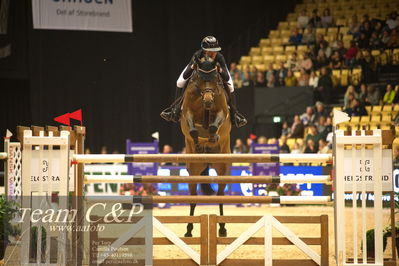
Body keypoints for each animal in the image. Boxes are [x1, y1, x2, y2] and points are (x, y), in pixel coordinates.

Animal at [180, 56, 233, 237]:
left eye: (217, 79)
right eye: (200, 79)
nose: (208, 101)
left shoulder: (222, 112)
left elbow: (213, 126)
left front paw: (212, 137)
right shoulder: (187, 112)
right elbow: (193, 129)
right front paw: (198, 143)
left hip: (223, 169)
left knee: (221, 195)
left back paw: (222, 228)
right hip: (193, 171)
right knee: (193, 198)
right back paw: (188, 229)